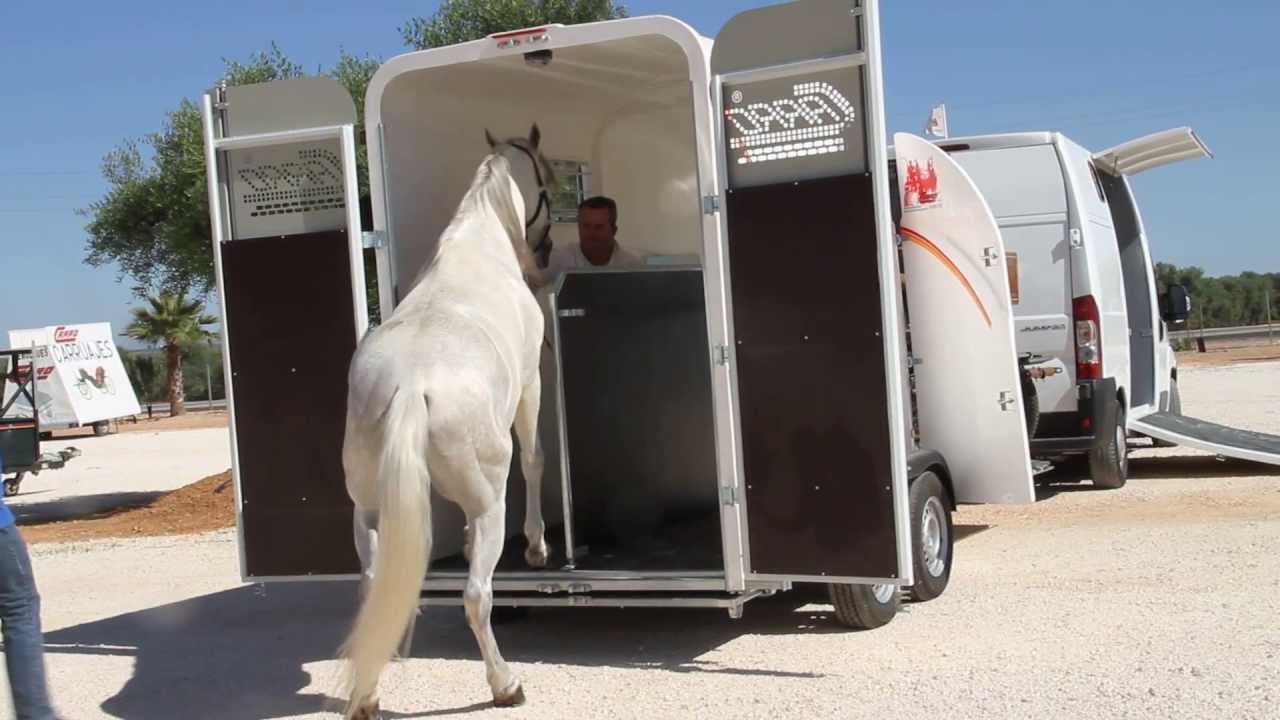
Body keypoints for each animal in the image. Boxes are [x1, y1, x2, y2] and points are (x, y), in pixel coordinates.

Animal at [337, 125, 556, 719]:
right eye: (547, 176)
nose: (545, 247)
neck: (478, 245)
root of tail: (412, 386)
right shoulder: (531, 384)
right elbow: (534, 459)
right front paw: (538, 546)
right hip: (488, 504)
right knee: (477, 595)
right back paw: (506, 685)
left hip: (368, 509)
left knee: (373, 589)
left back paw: (367, 694)